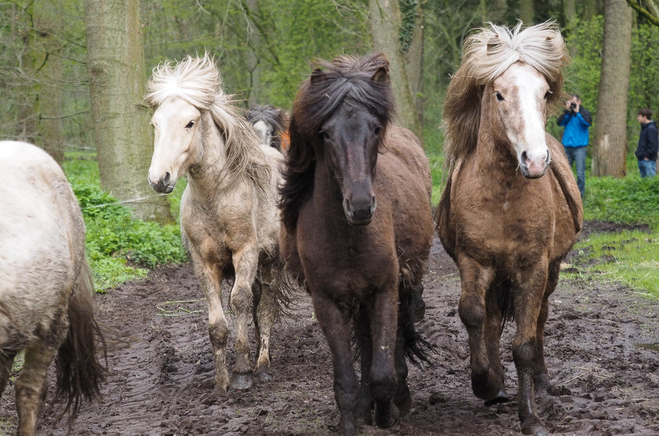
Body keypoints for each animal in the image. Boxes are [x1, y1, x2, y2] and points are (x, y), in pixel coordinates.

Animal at [147, 52, 288, 394]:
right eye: (155, 123)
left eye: (190, 122)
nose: (159, 179)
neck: (215, 198)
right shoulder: (204, 264)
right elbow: (217, 325)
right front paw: (221, 381)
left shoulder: (245, 254)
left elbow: (240, 302)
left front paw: (242, 373)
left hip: (272, 263)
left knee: (265, 310)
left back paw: (263, 366)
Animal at [438, 21, 584, 436]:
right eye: (500, 94)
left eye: (545, 92)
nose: (534, 160)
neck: (502, 198)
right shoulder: (474, 262)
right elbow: (473, 314)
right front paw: (487, 383)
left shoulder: (533, 269)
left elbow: (524, 341)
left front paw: (530, 415)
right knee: (489, 318)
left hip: (551, 272)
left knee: (540, 321)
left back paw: (542, 381)